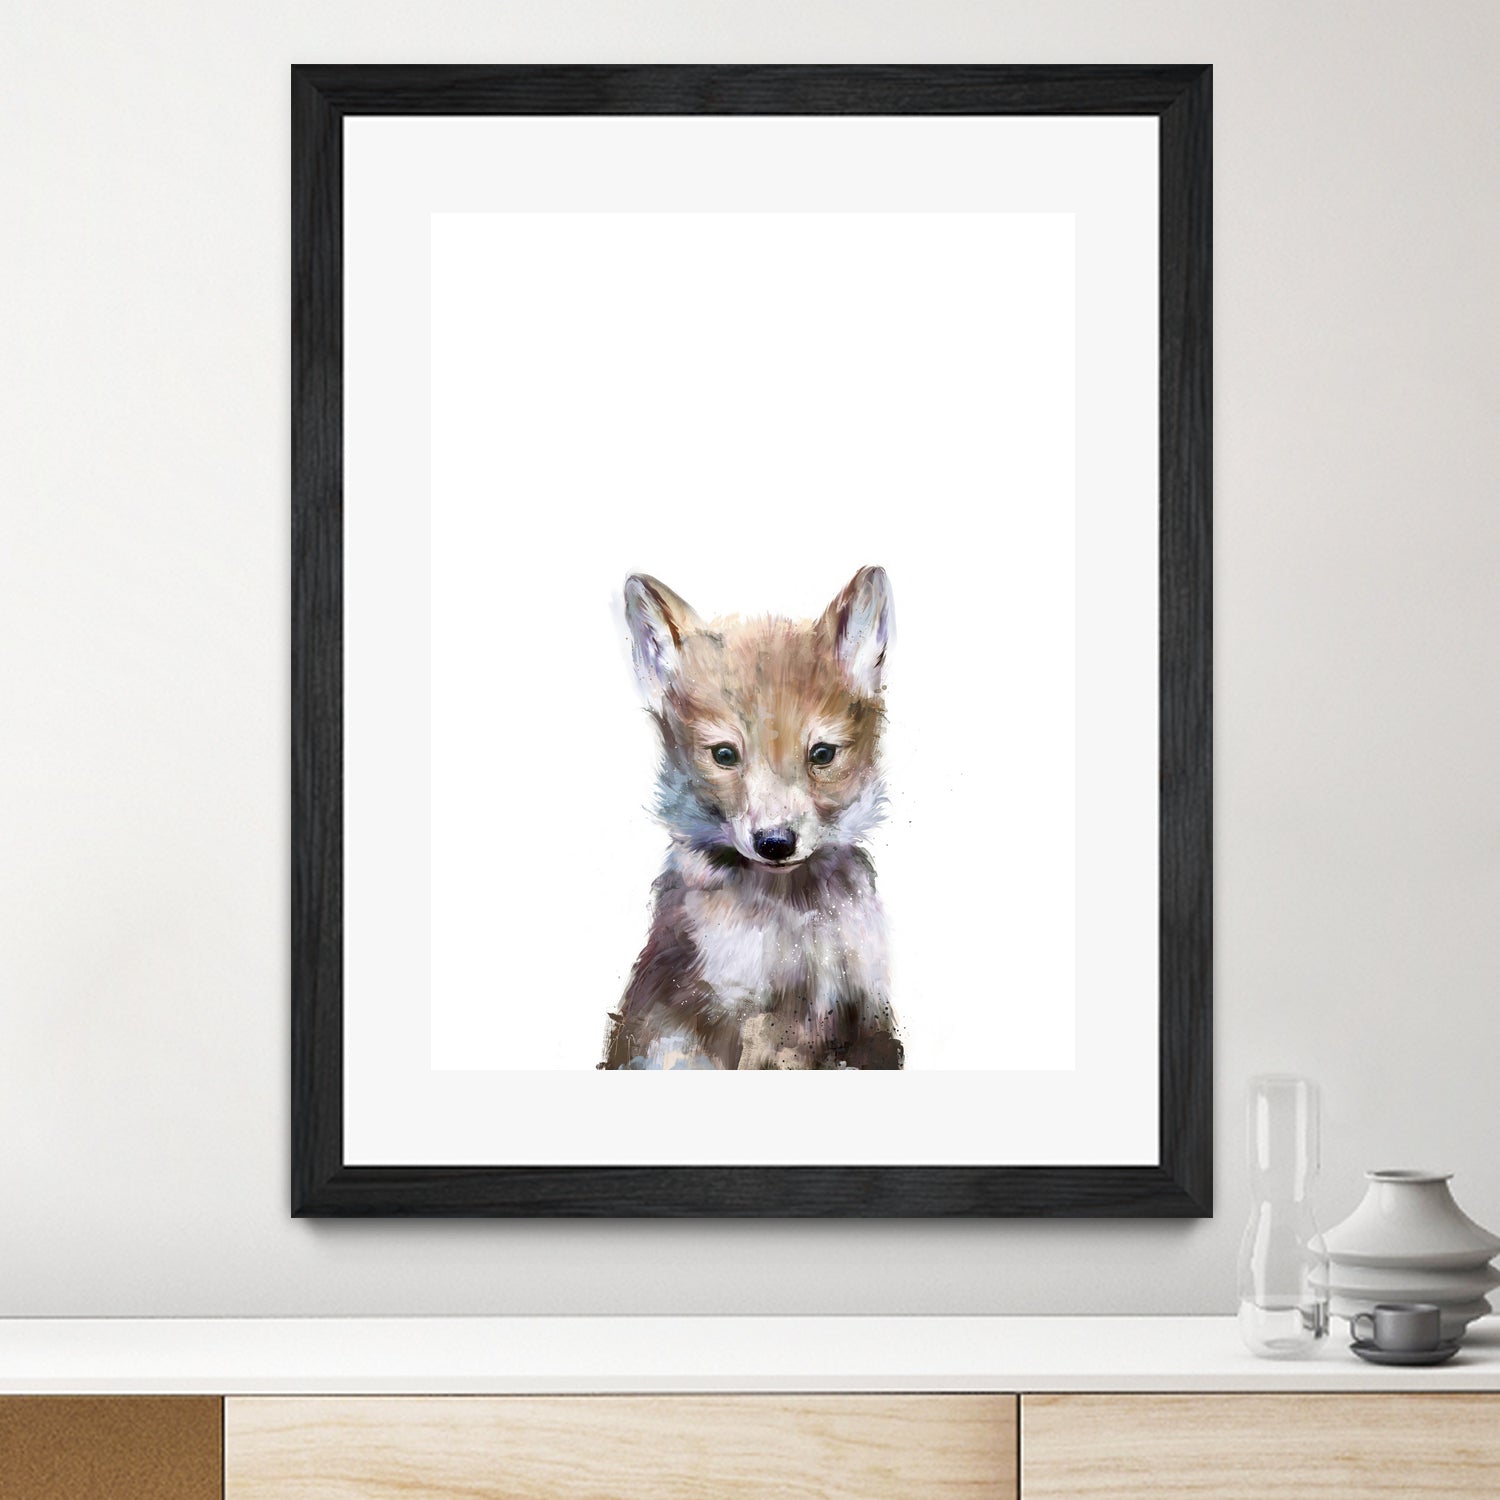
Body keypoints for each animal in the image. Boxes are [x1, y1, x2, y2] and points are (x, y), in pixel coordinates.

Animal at [602, 567, 902, 1070]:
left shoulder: (865, 1011)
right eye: (724, 754)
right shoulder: (741, 1016)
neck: (794, 922)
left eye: (822, 754)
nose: (775, 843)